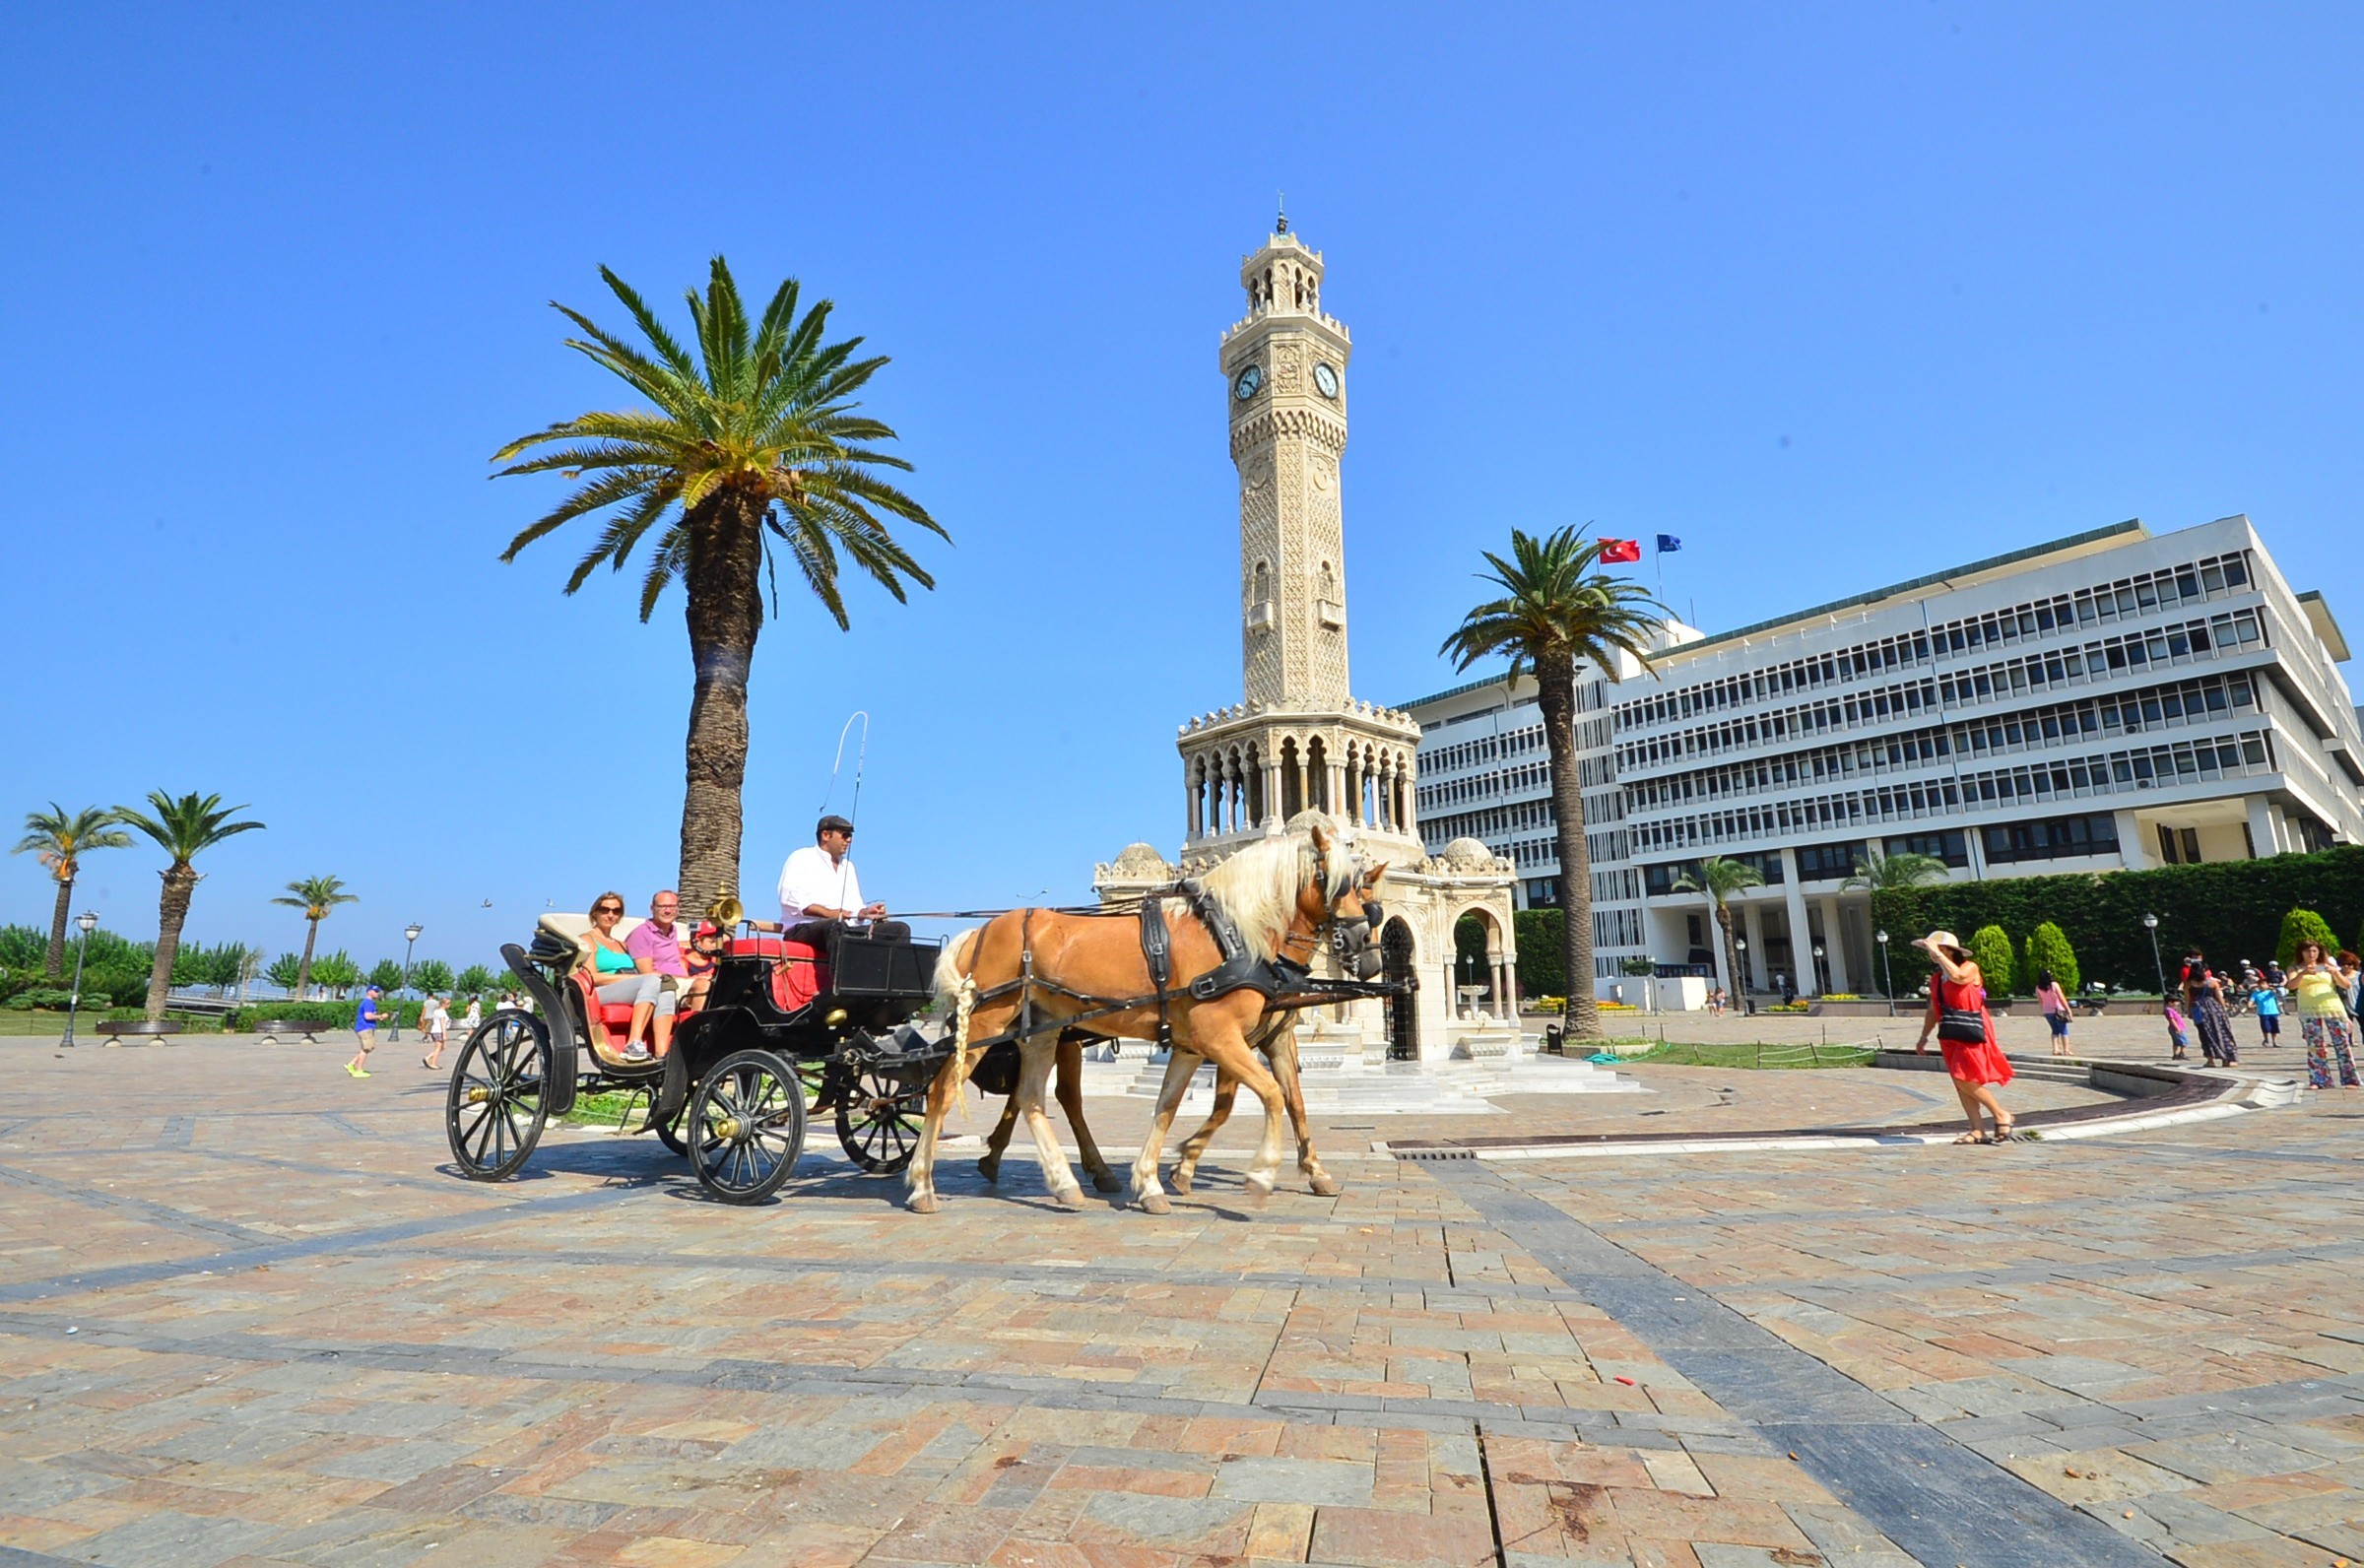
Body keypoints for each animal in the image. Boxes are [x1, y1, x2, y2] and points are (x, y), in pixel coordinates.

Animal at [907, 827, 1380, 1220]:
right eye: (1338, 883)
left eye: (1368, 898)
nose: (1364, 948)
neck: (1229, 935)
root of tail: (979, 932)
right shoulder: (1221, 1038)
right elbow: (1270, 1095)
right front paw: (1260, 1174)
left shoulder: (1197, 1045)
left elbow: (1169, 1107)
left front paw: (1153, 1181)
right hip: (985, 1026)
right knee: (943, 1092)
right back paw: (922, 1185)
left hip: (1044, 1031)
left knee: (1031, 1098)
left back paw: (1062, 1182)